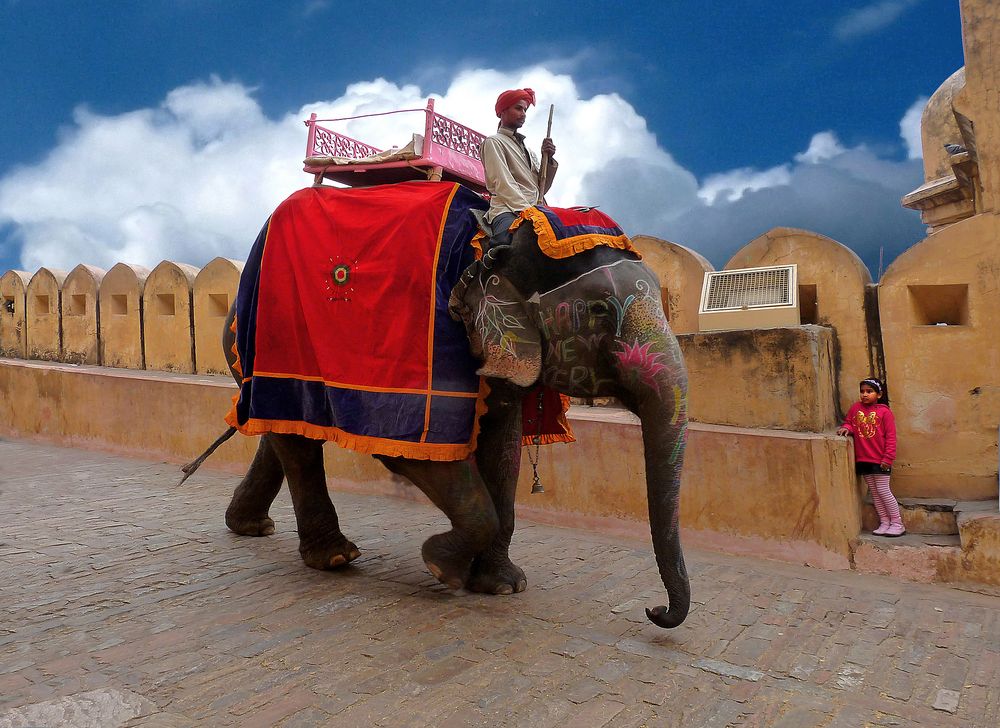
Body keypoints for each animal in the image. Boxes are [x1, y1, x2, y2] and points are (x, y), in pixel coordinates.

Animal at [215, 182, 692, 624]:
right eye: (599, 309)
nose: (655, 611)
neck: (492, 243)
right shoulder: (422, 348)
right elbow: (414, 453)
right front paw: (440, 567)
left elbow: (503, 448)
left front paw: (503, 586)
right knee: (293, 440)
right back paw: (333, 558)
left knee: (283, 429)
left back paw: (252, 527)